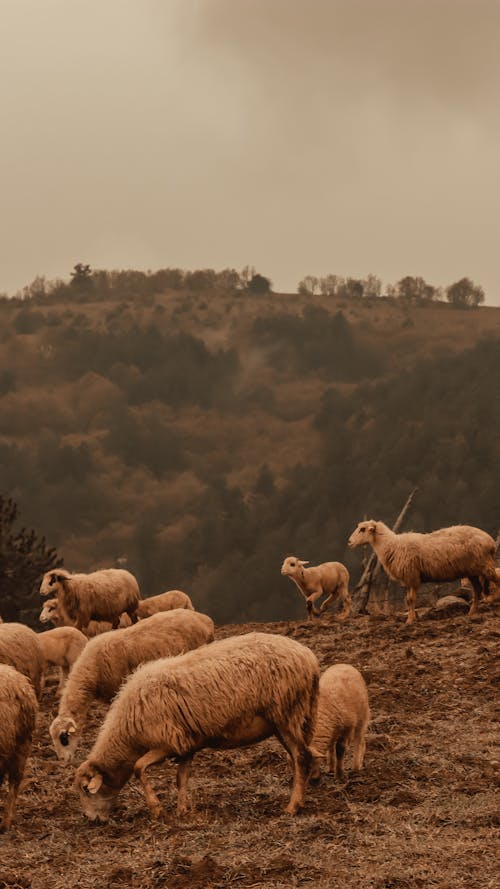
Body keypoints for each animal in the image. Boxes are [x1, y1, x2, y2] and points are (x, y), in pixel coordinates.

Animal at [73, 628, 318, 824]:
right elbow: (181, 778)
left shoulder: (167, 742)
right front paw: (183, 811)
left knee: (300, 757)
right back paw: (302, 796)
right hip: (287, 721)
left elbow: (138, 767)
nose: (91, 820)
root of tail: (309, 658)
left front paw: (157, 810)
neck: (128, 734)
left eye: (86, 789)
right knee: (300, 757)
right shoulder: (186, 743)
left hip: (287, 713)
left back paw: (292, 807)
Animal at [348, 520, 500, 624]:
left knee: (496, 580)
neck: (391, 545)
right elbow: (407, 600)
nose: (349, 542)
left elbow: (410, 599)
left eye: (362, 529)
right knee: (478, 589)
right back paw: (472, 612)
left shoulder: (412, 576)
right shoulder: (408, 579)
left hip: (484, 565)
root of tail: (490, 541)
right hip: (472, 571)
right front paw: (412, 617)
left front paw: (410, 621)